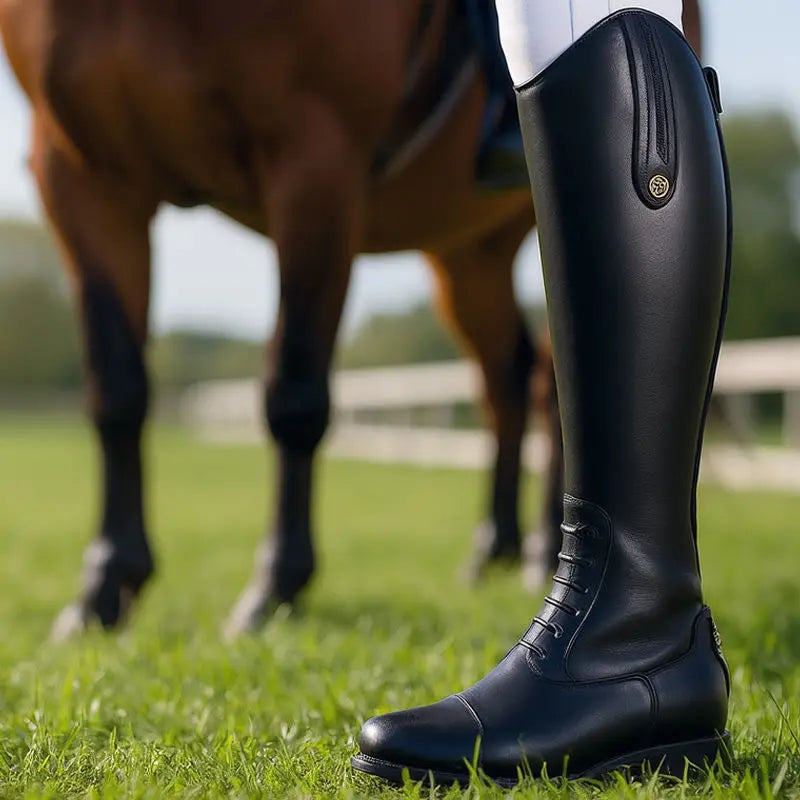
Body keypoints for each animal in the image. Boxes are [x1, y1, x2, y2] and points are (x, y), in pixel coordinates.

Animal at [0, 0, 701, 638]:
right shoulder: (79, 173)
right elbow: (116, 391)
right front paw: (105, 590)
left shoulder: (316, 160)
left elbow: (293, 394)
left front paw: (275, 588)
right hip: (467, 253)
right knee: (505, 381)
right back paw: (494, 551)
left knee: (546, 378)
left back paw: (538, 558)